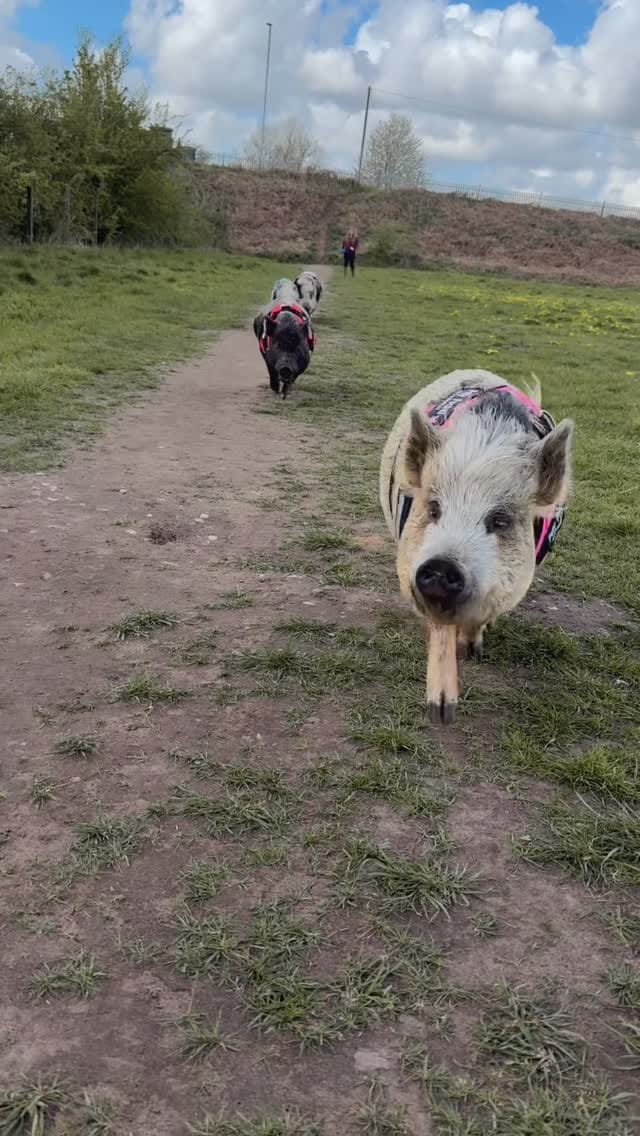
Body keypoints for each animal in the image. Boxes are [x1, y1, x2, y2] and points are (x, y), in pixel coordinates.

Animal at [379, 369, 574, 724]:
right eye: (433, 509)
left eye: (500, 521)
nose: (441, 566)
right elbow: (439, 631)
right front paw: (441, 712)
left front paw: (474, 653)